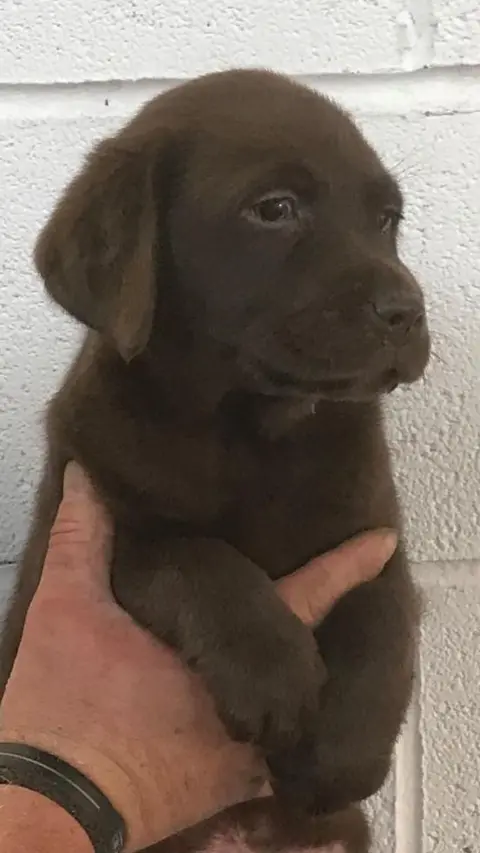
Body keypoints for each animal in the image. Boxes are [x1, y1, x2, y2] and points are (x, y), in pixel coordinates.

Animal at [0, 70, 428, 848]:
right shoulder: (96, 518)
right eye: (275, 209)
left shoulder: (376, 532)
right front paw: (275, 668)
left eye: (387, 219)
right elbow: (191, 556)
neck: (247, 431)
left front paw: (342, 754)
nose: (406, 311)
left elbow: (382, 623)